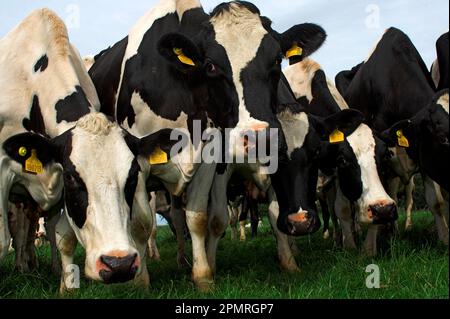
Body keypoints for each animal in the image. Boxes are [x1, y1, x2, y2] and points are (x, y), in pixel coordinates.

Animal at [0, 8, 174, 292]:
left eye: (133, 176)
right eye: (72, 177)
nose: (119, 264)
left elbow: (64, 235)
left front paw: (67, 286)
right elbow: (4, 241)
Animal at [284, 58, 398, 256]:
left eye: (384, 157)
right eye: (343, 160)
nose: (382, 209)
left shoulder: (338, 177)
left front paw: (368, 248)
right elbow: (341, 209)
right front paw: (350, 246)